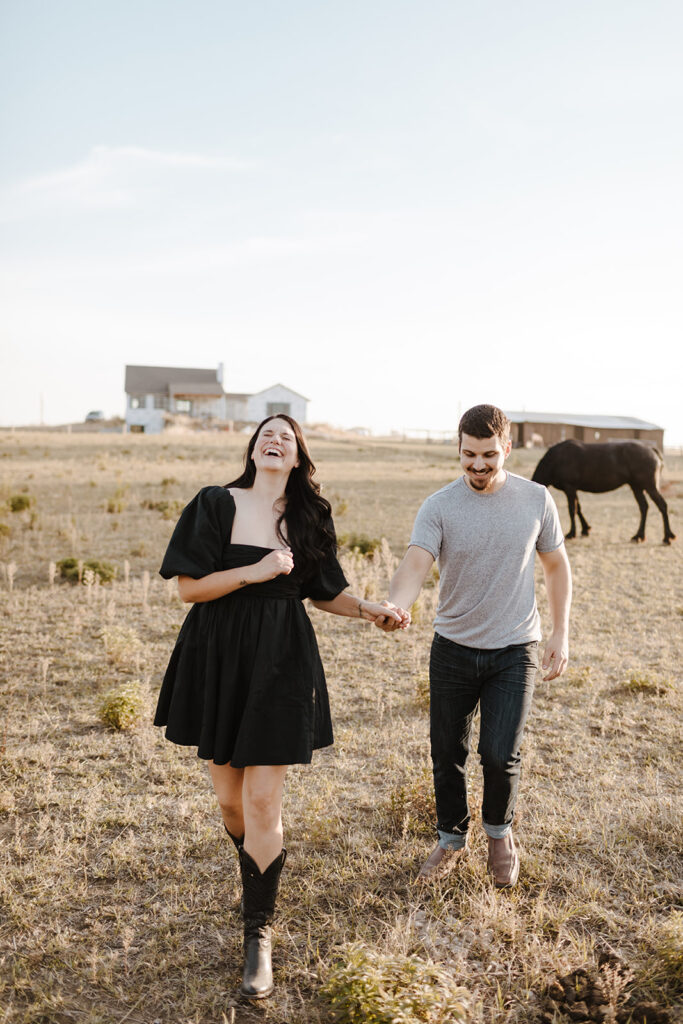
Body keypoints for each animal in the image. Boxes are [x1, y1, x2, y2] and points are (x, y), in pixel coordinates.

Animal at [532, 440, 675, 544]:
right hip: (637, 487)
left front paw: (572, 533)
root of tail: (651, 449)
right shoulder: (574, 489)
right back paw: (639, 536)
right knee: (644, 507)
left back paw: (667, 537)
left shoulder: (570, 488)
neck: (556, 459)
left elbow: (572, 510)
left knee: (662, 505)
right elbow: (579, 509)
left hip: (649, 486)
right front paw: (585, 529)